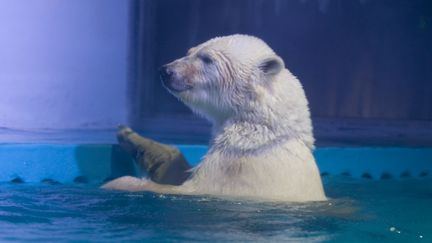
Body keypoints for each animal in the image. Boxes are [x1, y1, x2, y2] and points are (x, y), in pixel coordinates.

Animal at [103, 33, 326, 201]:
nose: (166, 71)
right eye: (190, 51)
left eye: (207, 59)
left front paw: (118, 183)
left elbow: (185, 189)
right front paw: (129, 135)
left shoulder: (235, 170)